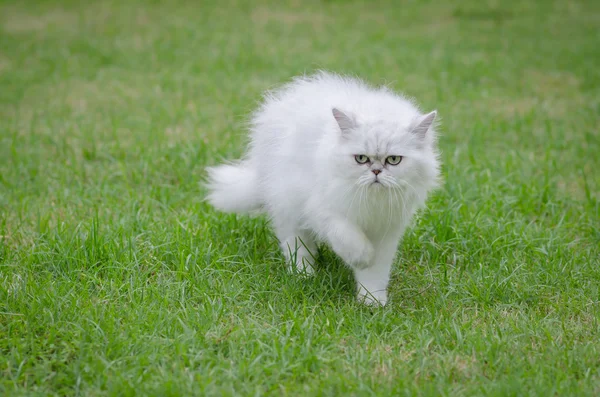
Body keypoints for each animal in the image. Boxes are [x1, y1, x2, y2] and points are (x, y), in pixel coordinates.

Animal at [206, 72, 440, 306]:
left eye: (393, 160)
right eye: (361, 159)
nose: (376, 171)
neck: (373, 201)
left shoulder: (386, 230)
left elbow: (376, 272)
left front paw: (372, 301)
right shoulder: (322, 210)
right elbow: (349, 237)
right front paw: (362, 258)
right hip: (289, 207)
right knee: (296, 246)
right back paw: (304, 275)